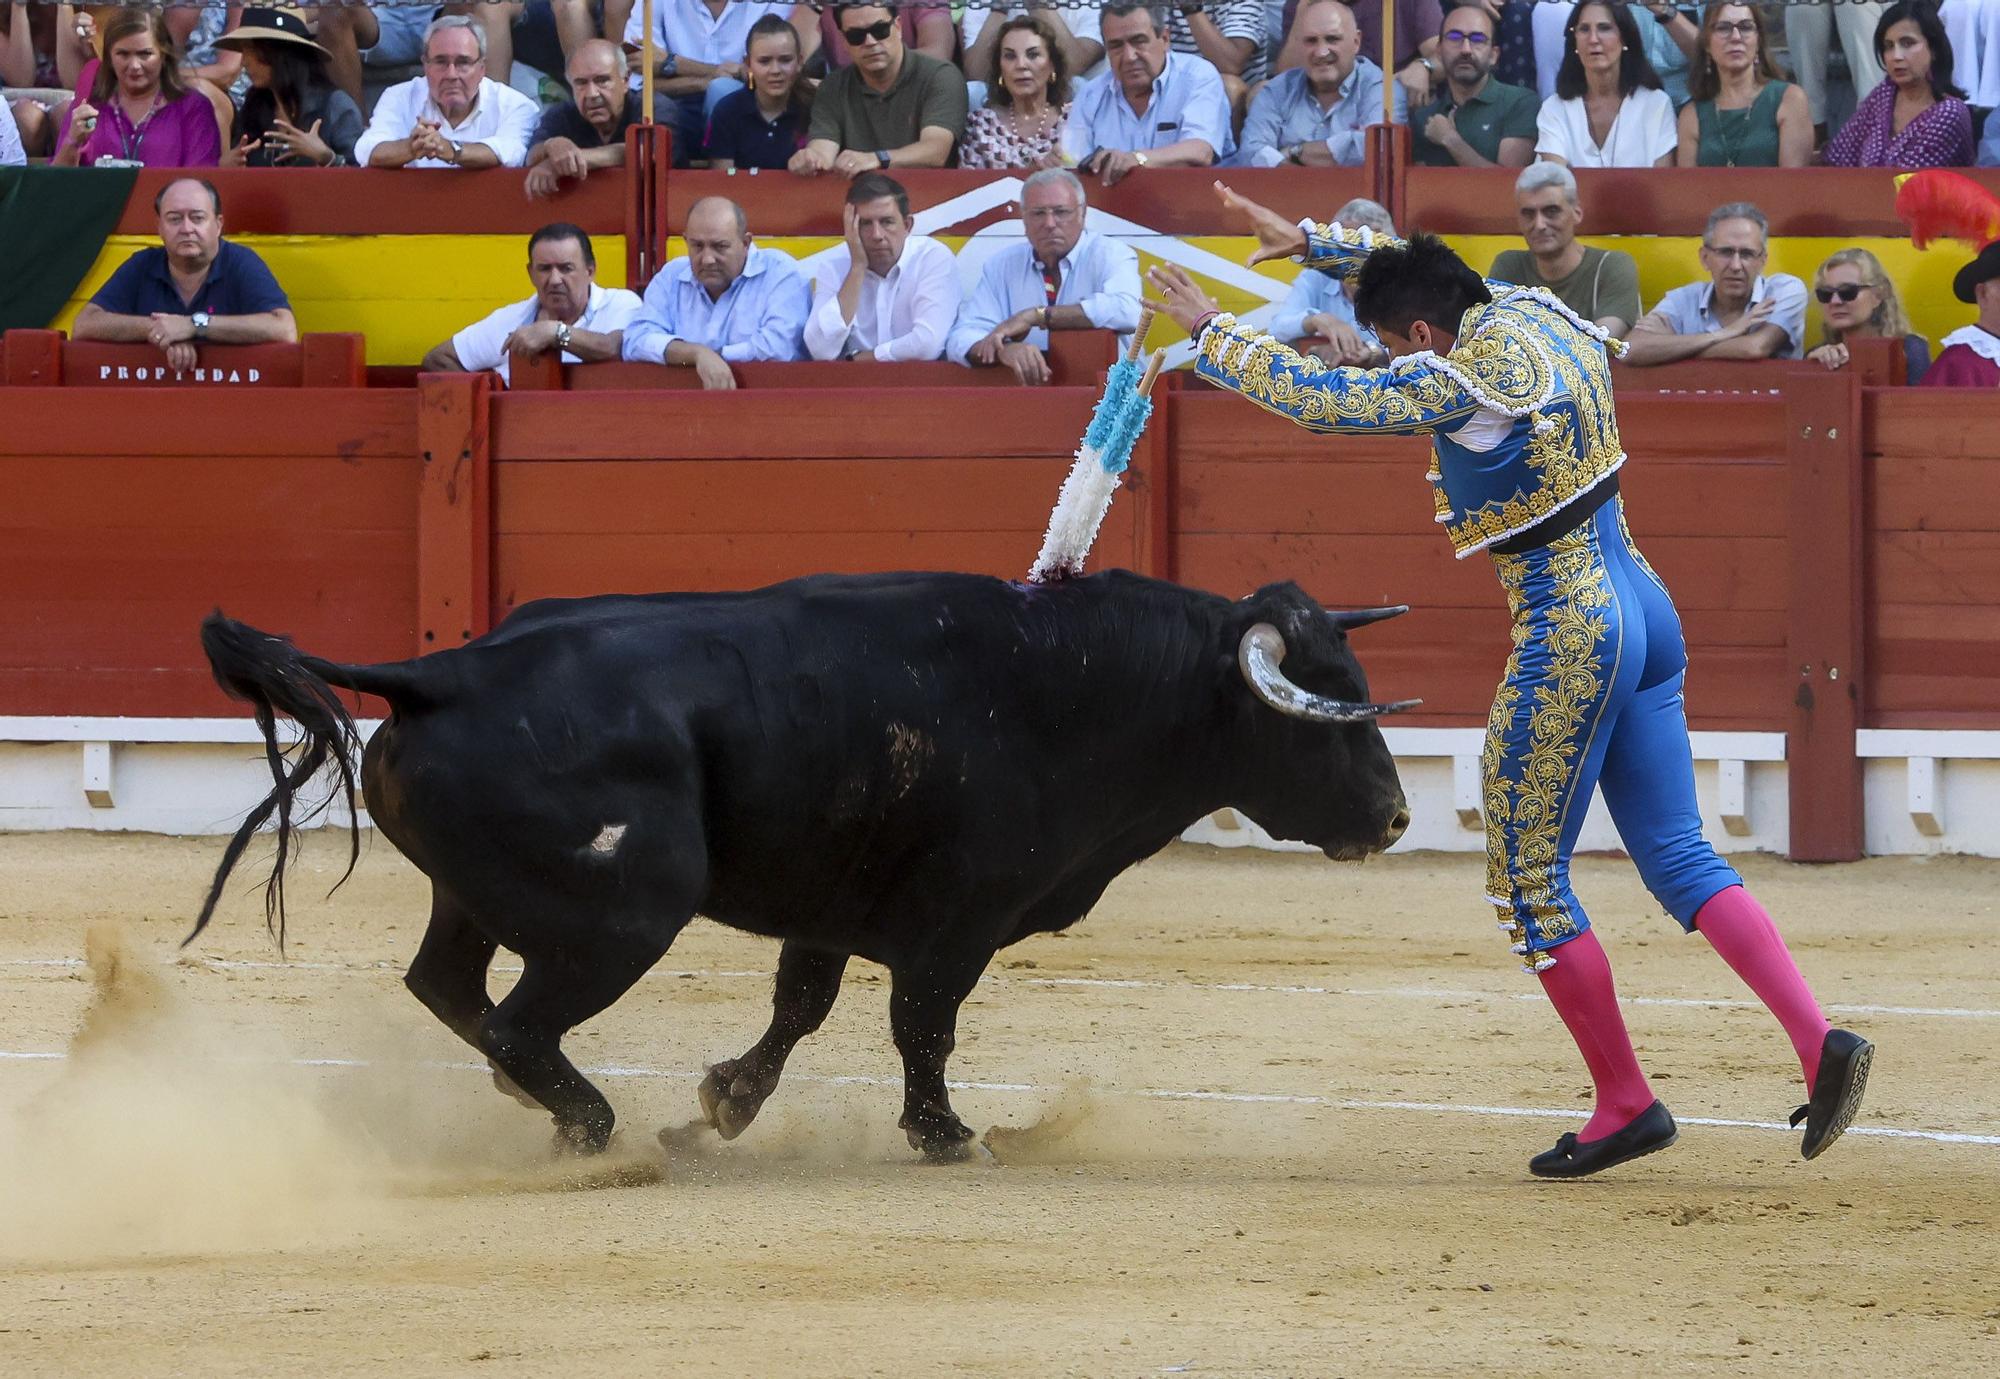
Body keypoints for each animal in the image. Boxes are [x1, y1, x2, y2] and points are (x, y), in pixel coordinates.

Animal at [184, 567, 1408, 1159]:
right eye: (1322, 717)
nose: (1395, 817)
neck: (1082, 683)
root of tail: (448, 672)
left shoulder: (832, 902)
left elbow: (801, 1007)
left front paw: (722, 1102)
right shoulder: (957, 918)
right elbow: (922, 1023)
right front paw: (946, 1135)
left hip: (477, 897)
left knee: (448, 986)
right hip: (629, 914)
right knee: (516, 1020)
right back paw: (587, 1129)